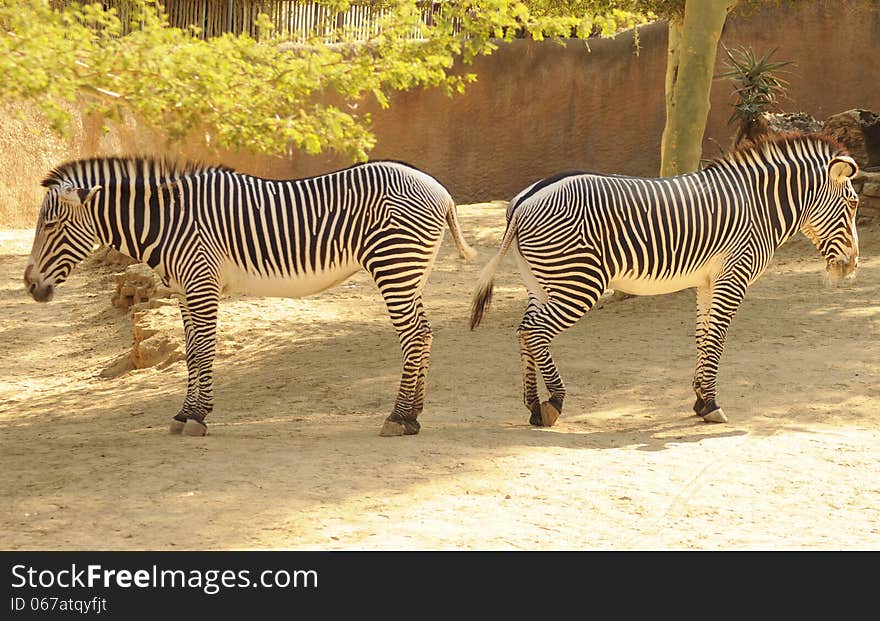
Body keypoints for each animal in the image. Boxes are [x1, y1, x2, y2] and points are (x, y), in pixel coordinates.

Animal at [22, 155, 474, 436]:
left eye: (51, 225)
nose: (29, 285)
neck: (169, 222)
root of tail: (440, 190)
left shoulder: (201, 282)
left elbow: (204, 350)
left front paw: (197, 417)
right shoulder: (184, 290)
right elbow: (191, 352)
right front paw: (186, 411)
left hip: (395, 265)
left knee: (413, 337)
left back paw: (398, 418)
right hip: (411, 272)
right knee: (424, 333)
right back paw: (413, 416)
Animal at [470, 134, 864, 426]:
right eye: (853, 204)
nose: (852, 265)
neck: (760, 207)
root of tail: (523, 200)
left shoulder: (708, 281)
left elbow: (704, 337)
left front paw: (700, 399)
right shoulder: (734, 275)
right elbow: (718, 340)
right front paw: (711, 403)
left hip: (542, 282)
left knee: (523, 330)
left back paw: (533, 406)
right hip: (579, 281)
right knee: (534, 331)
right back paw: (554, 402)